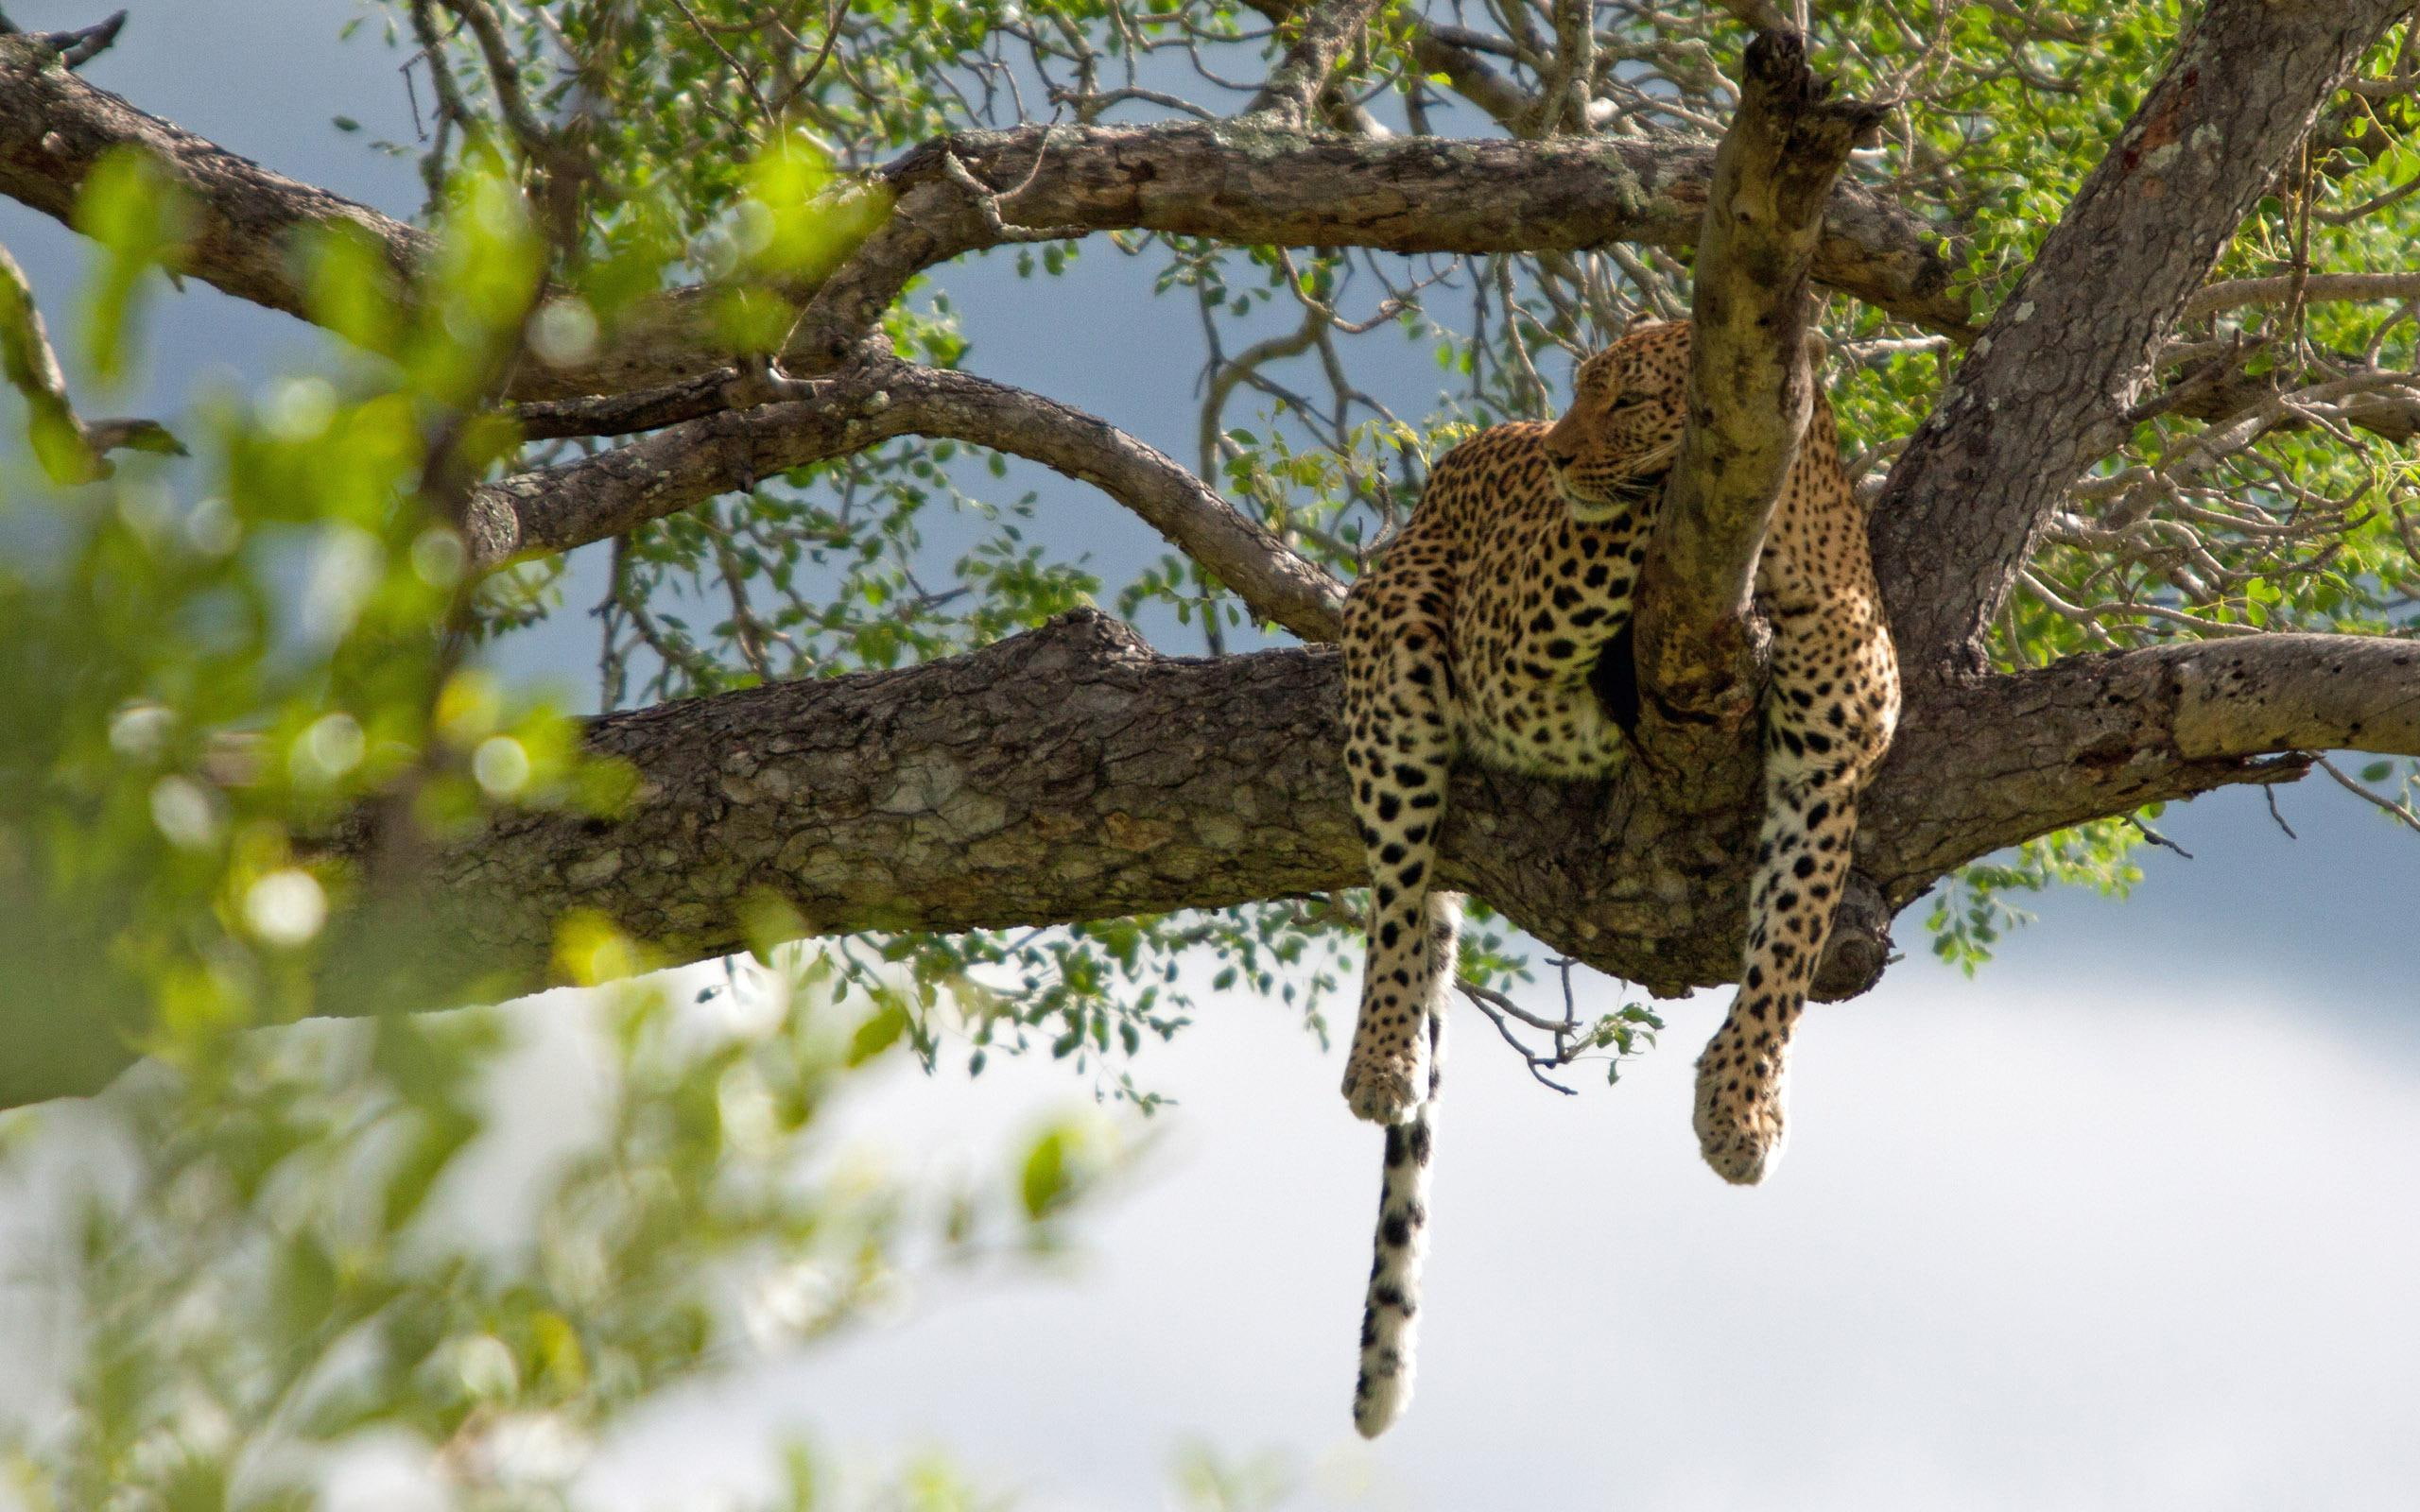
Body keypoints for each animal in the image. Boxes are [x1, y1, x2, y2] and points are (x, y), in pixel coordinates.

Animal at [1335, 319, 1900, 1438]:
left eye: (1629, 400)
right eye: (1578, 389)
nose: (1555, 454)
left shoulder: (1827, 766)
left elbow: (1793, 940)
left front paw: (1741, 1107)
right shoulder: (1510, 638)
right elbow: (1615, 541)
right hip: (1395, 644)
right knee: (1396, 898)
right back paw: (1379, 1060)